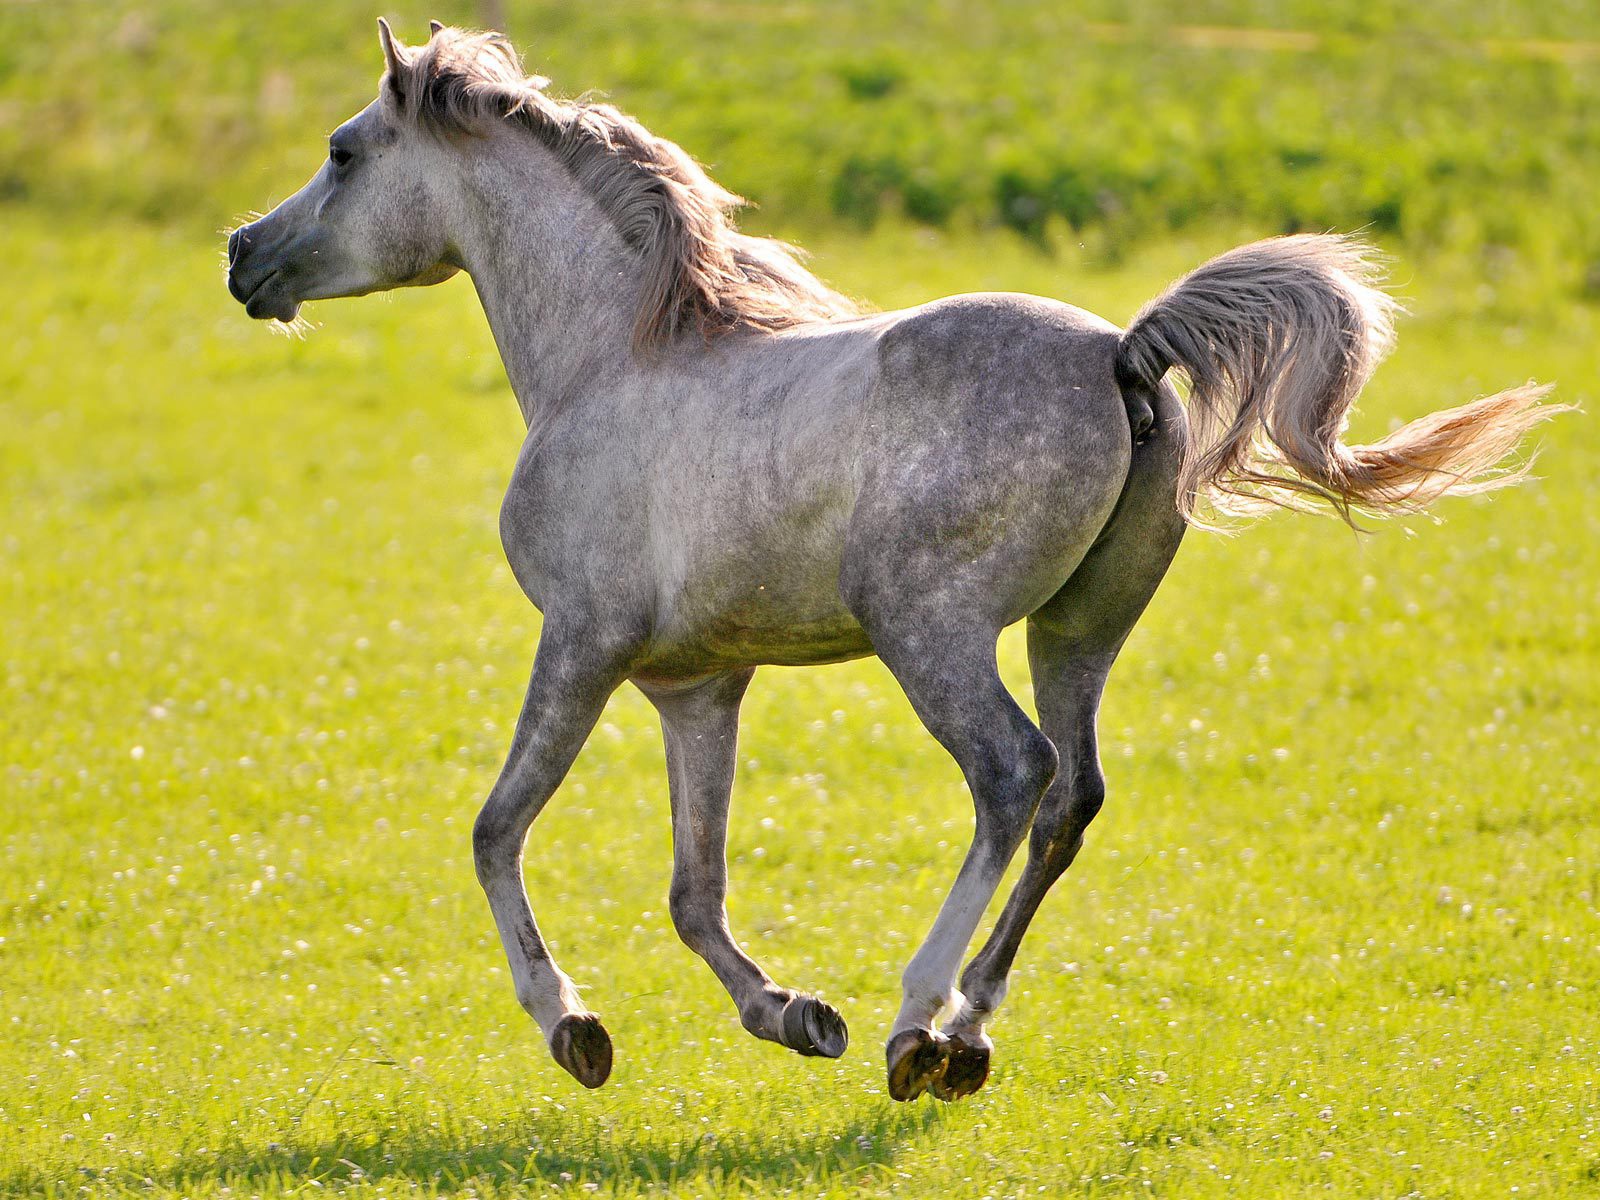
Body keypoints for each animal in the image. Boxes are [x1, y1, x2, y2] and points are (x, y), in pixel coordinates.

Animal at [226, 20, 1555, 1102]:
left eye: (343, 153)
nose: (244, 256)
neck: (613, 358)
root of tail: (1123, 353)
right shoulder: (695, 686)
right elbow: (692, 890)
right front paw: (792, 1014)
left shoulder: (583, 644)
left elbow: (496, 831)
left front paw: (575, 1030)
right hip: (1078, 631)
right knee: (1071, 797)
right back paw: (965, 1033)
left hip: (932, 631)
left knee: (1012, 776)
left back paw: (918, 1021)